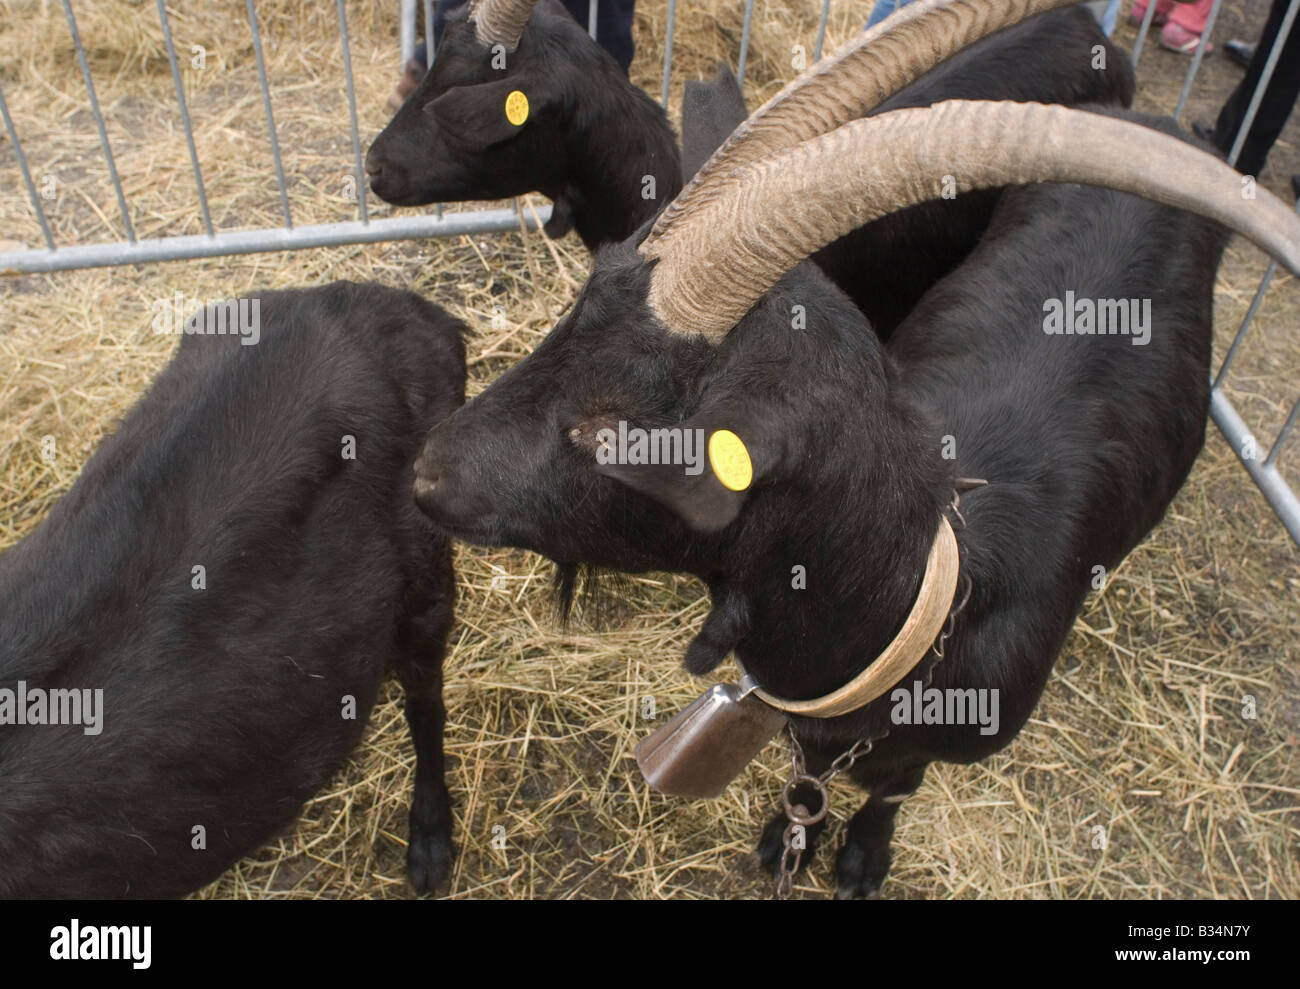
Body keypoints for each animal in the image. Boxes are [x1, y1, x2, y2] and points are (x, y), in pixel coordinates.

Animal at [405, 21, 1300, 898]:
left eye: (610, 427)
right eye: (575, 312)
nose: (426, 474)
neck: (931, 601)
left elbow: (892, 788)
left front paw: (863, 858)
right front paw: (786, 836)